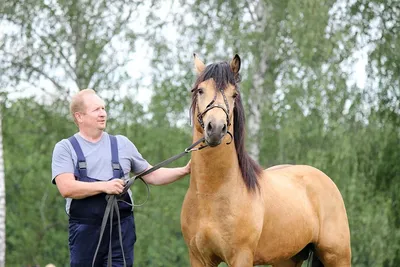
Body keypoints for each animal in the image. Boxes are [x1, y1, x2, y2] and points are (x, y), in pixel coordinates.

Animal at [180, 54, 350, 267]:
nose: (216, 128)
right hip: (286, 259)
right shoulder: (199, 258)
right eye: (200, 90)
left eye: (234, 94)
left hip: (338, 256)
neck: (210, 195)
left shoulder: (241, 257)